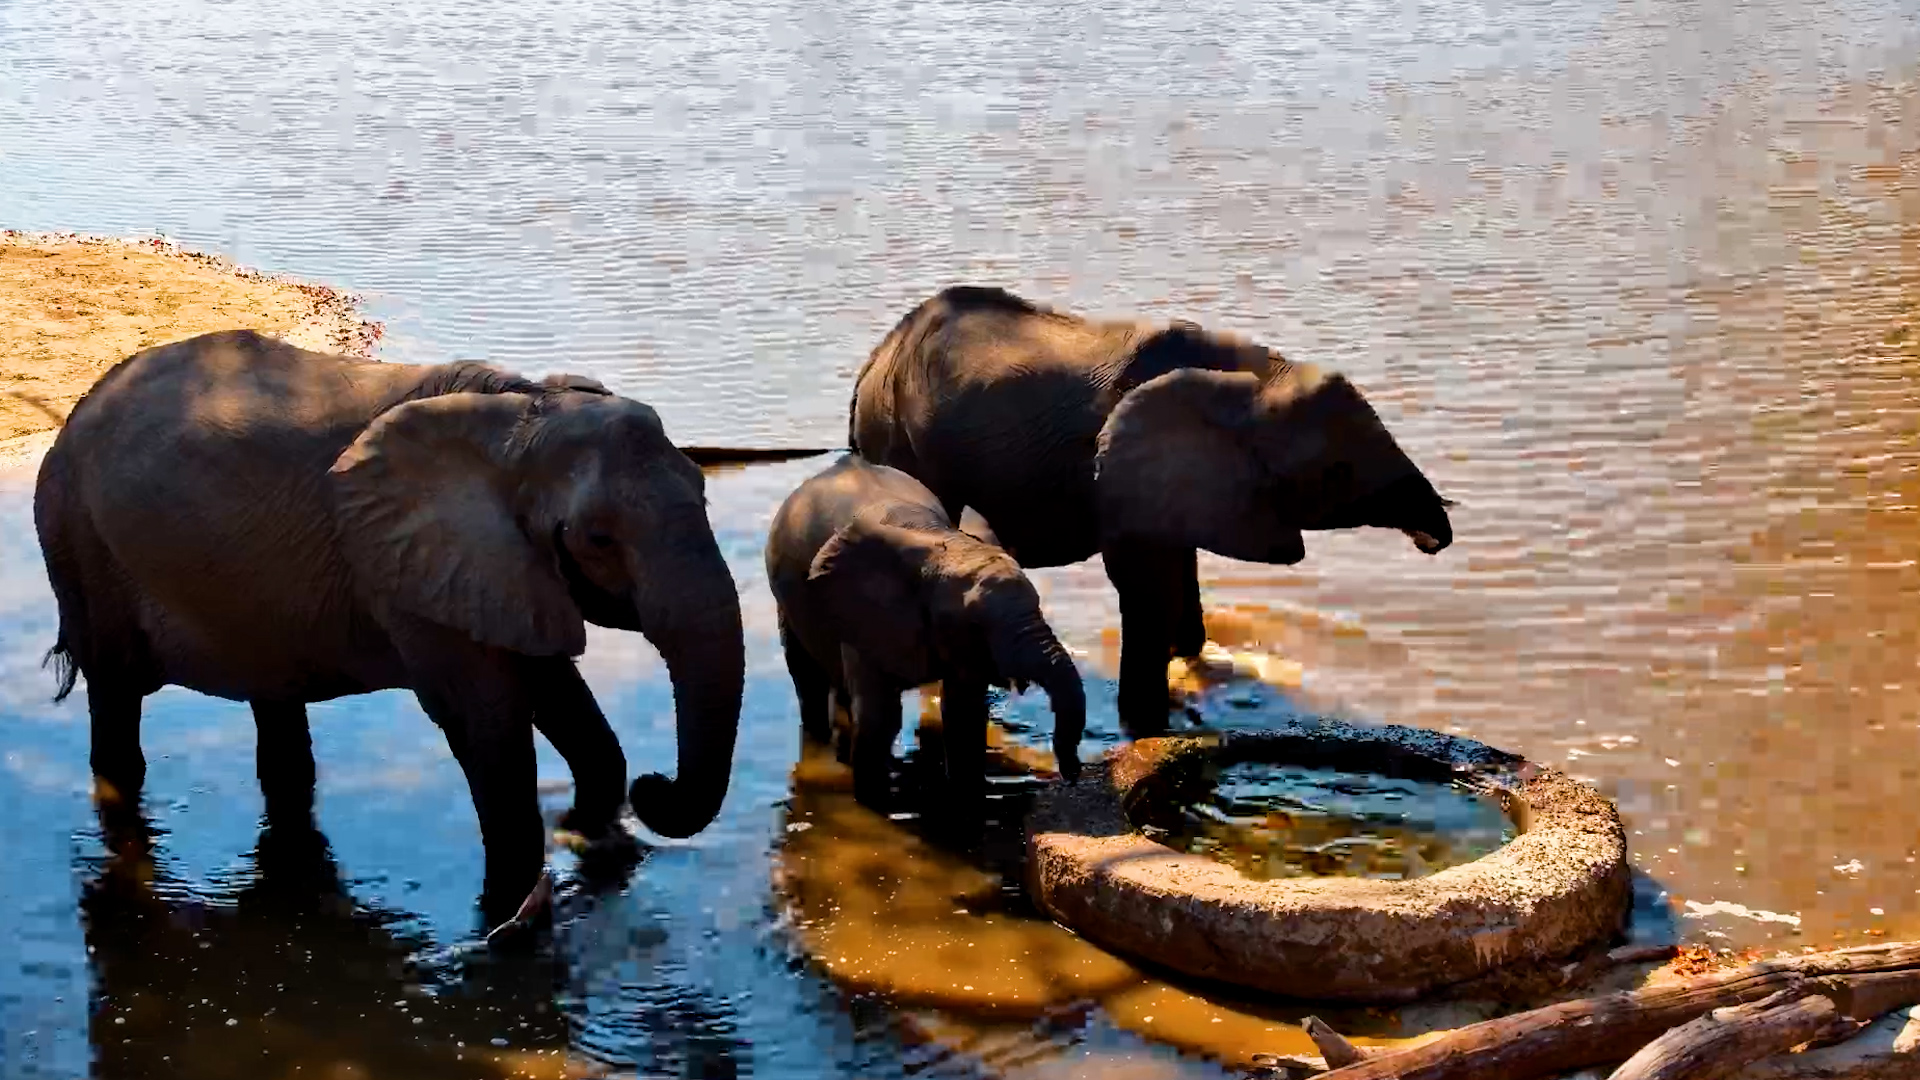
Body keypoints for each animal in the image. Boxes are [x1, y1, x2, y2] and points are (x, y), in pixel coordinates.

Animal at [34, 329, 749, 931]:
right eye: (599, 539)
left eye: (704, 490)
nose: (654, 788)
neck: (518, 414)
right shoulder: (405, 563)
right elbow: (487, 718)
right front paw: (514, 912)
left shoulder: (499, 566)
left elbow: (555, 690)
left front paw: (591, 840)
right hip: (79, 538)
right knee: (117, 700)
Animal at [764, 454, 1086, 812]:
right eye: (975, 625)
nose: (1071, 774)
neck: (938, 543)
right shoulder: (865, 614)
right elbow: (880, 718)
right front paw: (874, 807)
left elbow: (964, 712)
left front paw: (967, 797)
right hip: (786, 599)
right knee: (808, 680)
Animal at [847, 286, 1454, 736]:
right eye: (1336, 473)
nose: (1436, 538)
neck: (1257, 375)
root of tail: (875, 358)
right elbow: (1146, 588)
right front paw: (1148, 727)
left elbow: (1179, 571)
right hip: (898, 439)